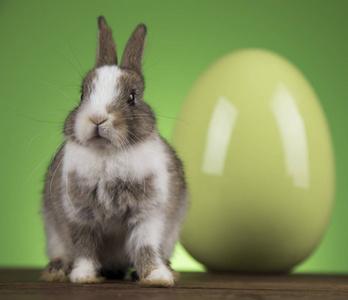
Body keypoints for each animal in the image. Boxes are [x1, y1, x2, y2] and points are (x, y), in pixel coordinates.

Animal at [40, 16, 188, 288]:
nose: (97, 118)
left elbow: (145, 246)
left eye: (132, 97)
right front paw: (84, 277)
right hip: (52, 231)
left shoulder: (150, 213)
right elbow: (84, 247)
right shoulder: (78, 214)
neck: (108, 154)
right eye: (82, 95)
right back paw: (57, 269)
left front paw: (157, 277)